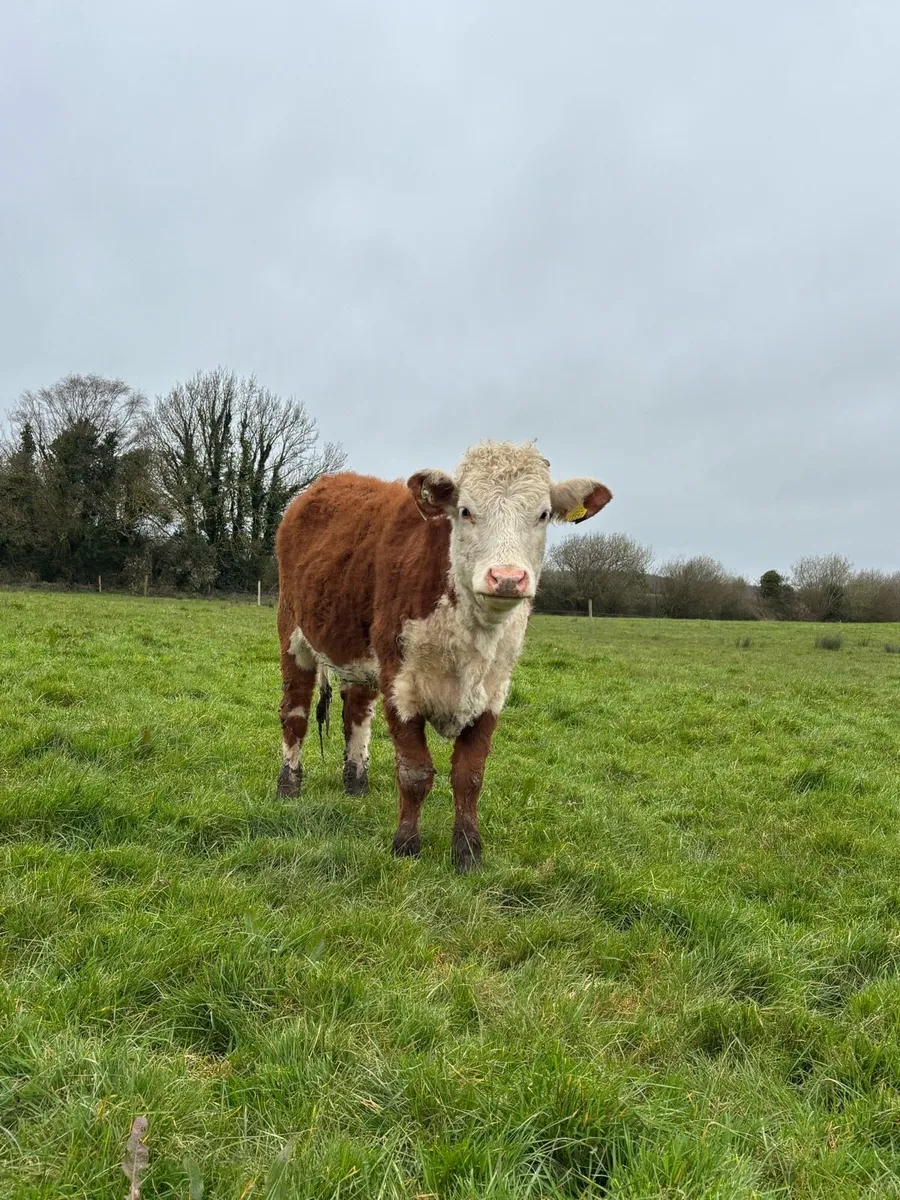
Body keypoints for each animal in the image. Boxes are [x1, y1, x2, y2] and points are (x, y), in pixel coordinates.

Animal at [274, 440, 612, 871]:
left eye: (542, 514)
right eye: (465, 510)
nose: (507, 578)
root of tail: (327, 483)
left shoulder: (493, 691)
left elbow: (469, 775)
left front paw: (467, 850)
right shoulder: (400, 682)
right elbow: (415, 771)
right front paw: (405, 843)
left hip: (358, 654)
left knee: (356, 714)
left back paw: (356, 783)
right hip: (293, 634)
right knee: (295, 715)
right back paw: (288, 785)